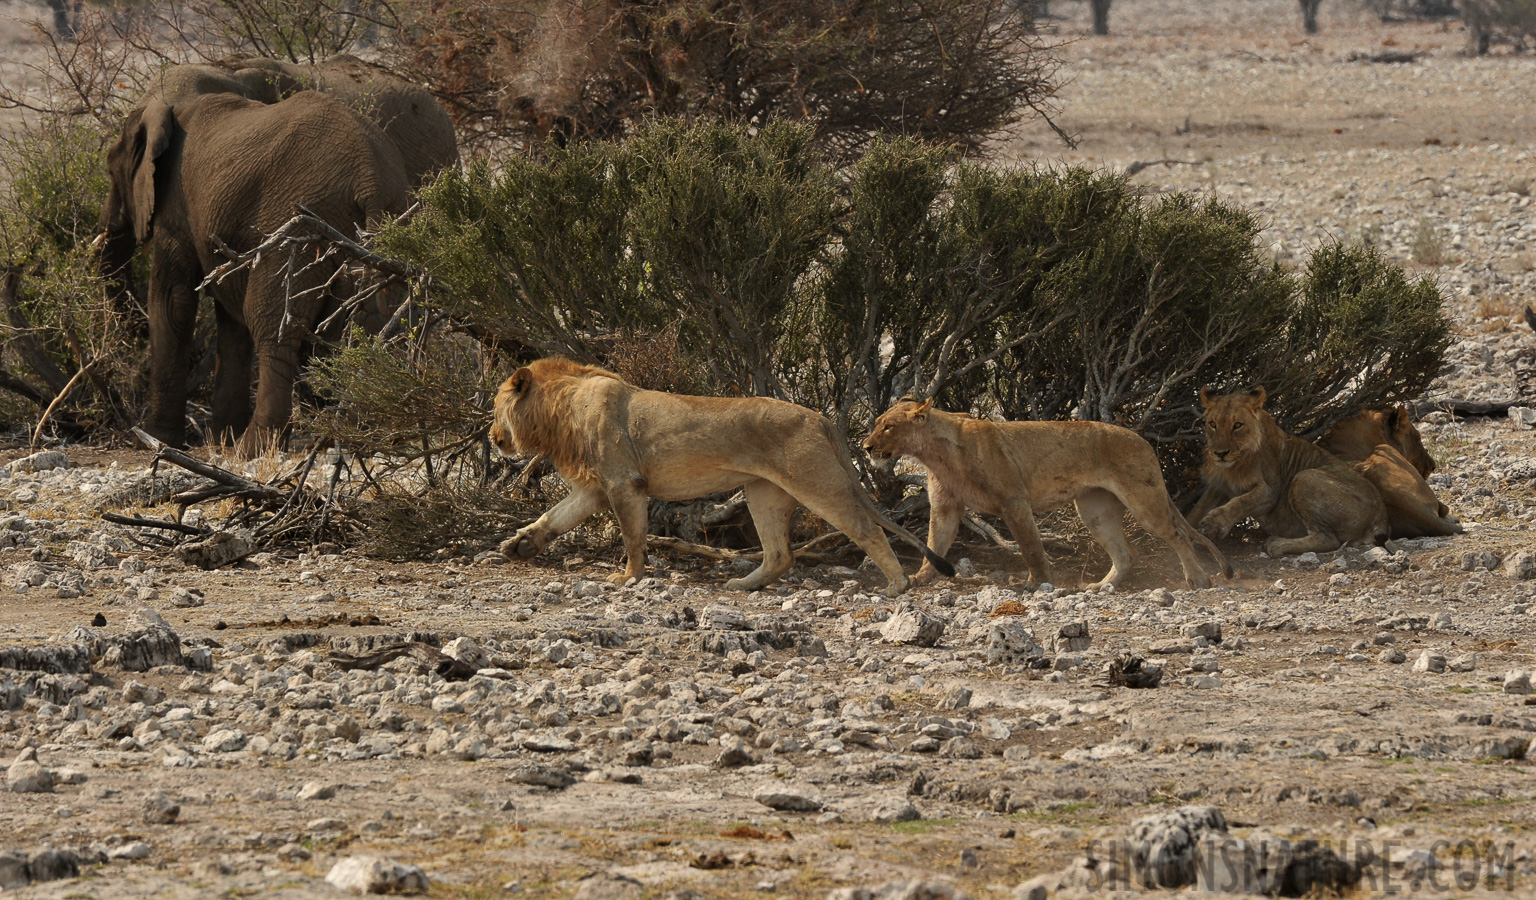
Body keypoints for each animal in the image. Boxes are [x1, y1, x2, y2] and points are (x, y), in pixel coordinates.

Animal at [101, 90, 414, 451]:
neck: (171, 108)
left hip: (296, 223)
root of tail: (370, 178)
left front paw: (155, 439)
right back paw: (361, 428)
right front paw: (221, 437)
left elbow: (172, 302)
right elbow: (229, 316)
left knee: (272, 324)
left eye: (111, 171)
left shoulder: (176, 207)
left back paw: (252, 447)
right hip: (390, 220)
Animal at [485, 353, 952, 592]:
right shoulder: (596, 487)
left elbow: (633, 538)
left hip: (818, 483)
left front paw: (628, 577)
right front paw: (519, 546)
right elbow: (555, 516)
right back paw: (743, 585)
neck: (560, 410)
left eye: (495, 408)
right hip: (763, 492)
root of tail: (819, 417)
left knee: (867, 529)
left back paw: (898, 585)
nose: (492, 437)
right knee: (780, 554)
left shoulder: (623, 482)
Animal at [866, 399, 1234, 589]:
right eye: (877, 423)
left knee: (1177, 535)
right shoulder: (945, 507)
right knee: (1126, 554)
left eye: (889, 426)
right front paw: (921, 577)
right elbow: (935, 542)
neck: (936, 454)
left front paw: (1038, 583)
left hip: (1143, 500)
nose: (866, 446)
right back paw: (1101, 587)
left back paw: (1197, 578)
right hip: (1095, 510)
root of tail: (1143, 441)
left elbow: (1030, 546)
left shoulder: (1014, 501)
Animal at [1185, 385, 1394, 552]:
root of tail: (1381, 518)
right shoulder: (1218, 486)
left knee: (1328, 539)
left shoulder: (1270, 491)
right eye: (1213, 424)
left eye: (1237, 425)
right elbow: (1197, 509)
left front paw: (1213, 525)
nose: (1220, 453)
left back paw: (1278, 545)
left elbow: (1241, 501)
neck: (1233, 465)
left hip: (1303, 478)